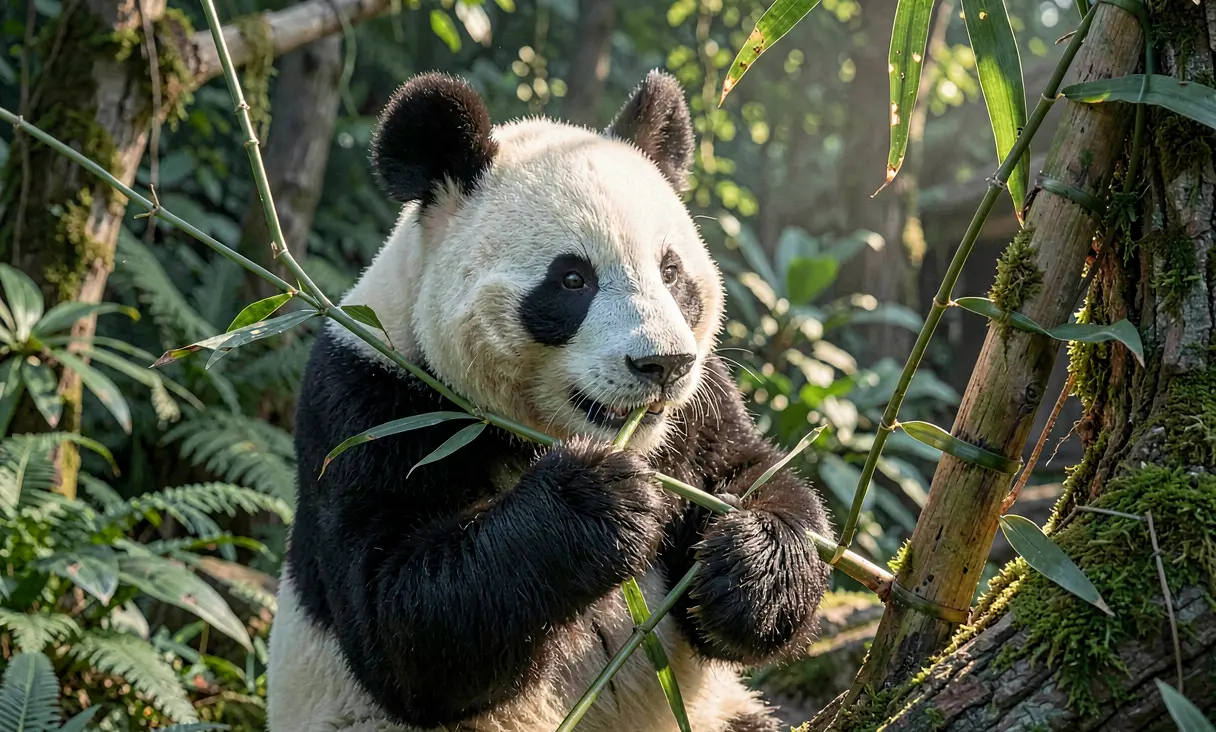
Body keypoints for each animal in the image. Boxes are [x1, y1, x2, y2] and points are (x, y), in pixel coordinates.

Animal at [266, 70, 832, 732]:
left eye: (670, 272)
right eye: (572, 280)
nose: (663, 365)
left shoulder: (700, 404)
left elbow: (751, 471)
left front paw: (750, 571)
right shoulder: (372, 402)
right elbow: (400, 622)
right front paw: (600, 498)